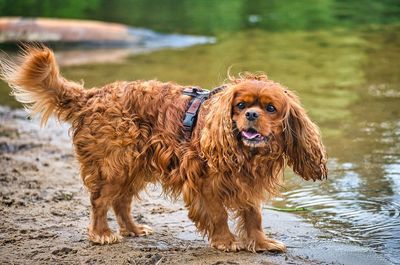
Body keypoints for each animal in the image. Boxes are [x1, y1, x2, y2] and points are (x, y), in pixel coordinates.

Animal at [0, 46, 326, 252]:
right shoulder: (204, 182)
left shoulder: (246, 182)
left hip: (134, 166)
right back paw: (102, 235)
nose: (252, 115)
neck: (246, 154)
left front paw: (261, 243)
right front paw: (226, 241)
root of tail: (92, 95)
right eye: (241, 105)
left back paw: (133, 230)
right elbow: (219, 214)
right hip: (115, 165)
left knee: (121, 202)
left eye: (270, 108)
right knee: (101, 201)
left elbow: (254, 216)